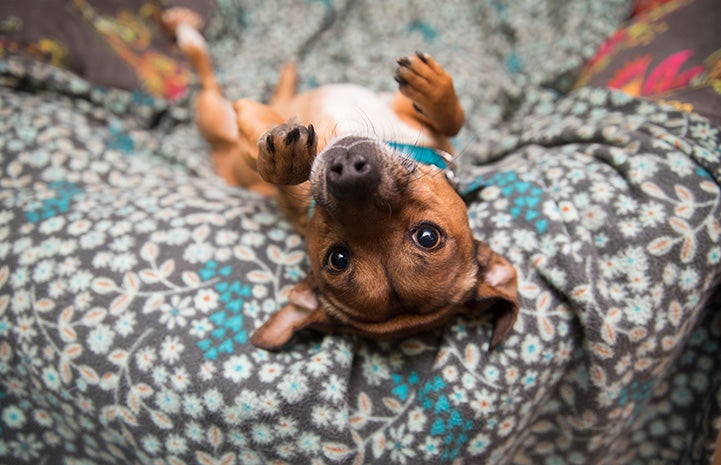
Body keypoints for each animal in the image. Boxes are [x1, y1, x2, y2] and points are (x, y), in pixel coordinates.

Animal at [168, 12, 516, 350]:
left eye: (427, 237)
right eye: (338, 257)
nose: (348, 171)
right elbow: (453, 118)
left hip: (214, 115)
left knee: (210, 81)